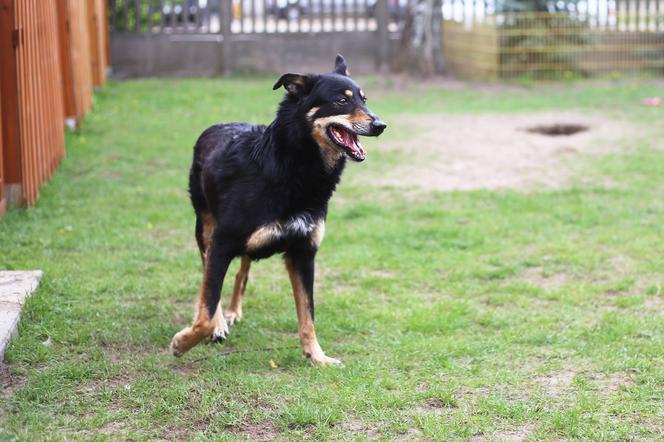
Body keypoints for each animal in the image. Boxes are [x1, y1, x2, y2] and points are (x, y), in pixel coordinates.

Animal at [171, 54, 386, 366]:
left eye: (364, 99)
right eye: (341, 101)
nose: (381, 125)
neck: (291, 167)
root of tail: (218, 125)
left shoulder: (303, 251)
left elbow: (308, 313)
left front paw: (317, 356)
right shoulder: (222, 242)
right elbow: (208, 304)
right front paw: (183, 342)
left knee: (242, 271)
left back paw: (234, 312)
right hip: (205, 229)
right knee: (208, 281)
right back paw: (222, 321)